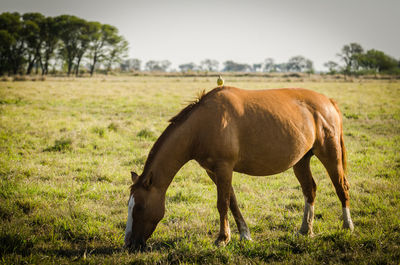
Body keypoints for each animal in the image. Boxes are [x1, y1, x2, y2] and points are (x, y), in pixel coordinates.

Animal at [124, 85, 354, 249]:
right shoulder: (213, 171)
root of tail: (328, 102)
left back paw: (347, 226)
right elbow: (232, 202)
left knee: (341, 187)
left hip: (330, 153)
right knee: (310, 190)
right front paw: (244, 235)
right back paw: (306, 230)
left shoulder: (224, 167)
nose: (129, 244)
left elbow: (222, 203)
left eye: (140, 207)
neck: (203, 124)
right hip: (301, 160)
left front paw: (222, 239)